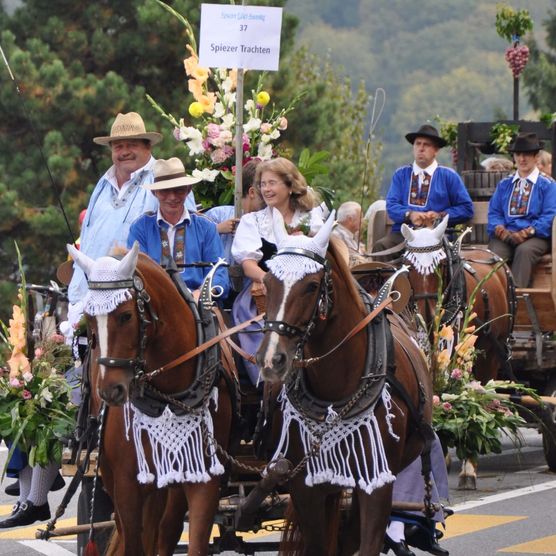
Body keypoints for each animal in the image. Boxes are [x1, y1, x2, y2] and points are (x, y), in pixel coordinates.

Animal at [68, 244, 233, 556]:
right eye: (89, 317)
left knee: (166, 529)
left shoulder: (203, 474)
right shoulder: (127, 484)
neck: (168, 395)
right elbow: (133, 540)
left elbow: (194, 541)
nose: (110, 390)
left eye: (125, 316)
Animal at [254, 213, 432, 556]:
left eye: (311, 286)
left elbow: (367, 541)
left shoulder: (376, 481)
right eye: (268, 283)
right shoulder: (305, 485)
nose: (271, 359)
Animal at [400, 216, 512, 486]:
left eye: (440, 264)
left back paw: (470, 464)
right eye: (408, 265)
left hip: (491, 351)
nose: (429, 315)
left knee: (481, 395)